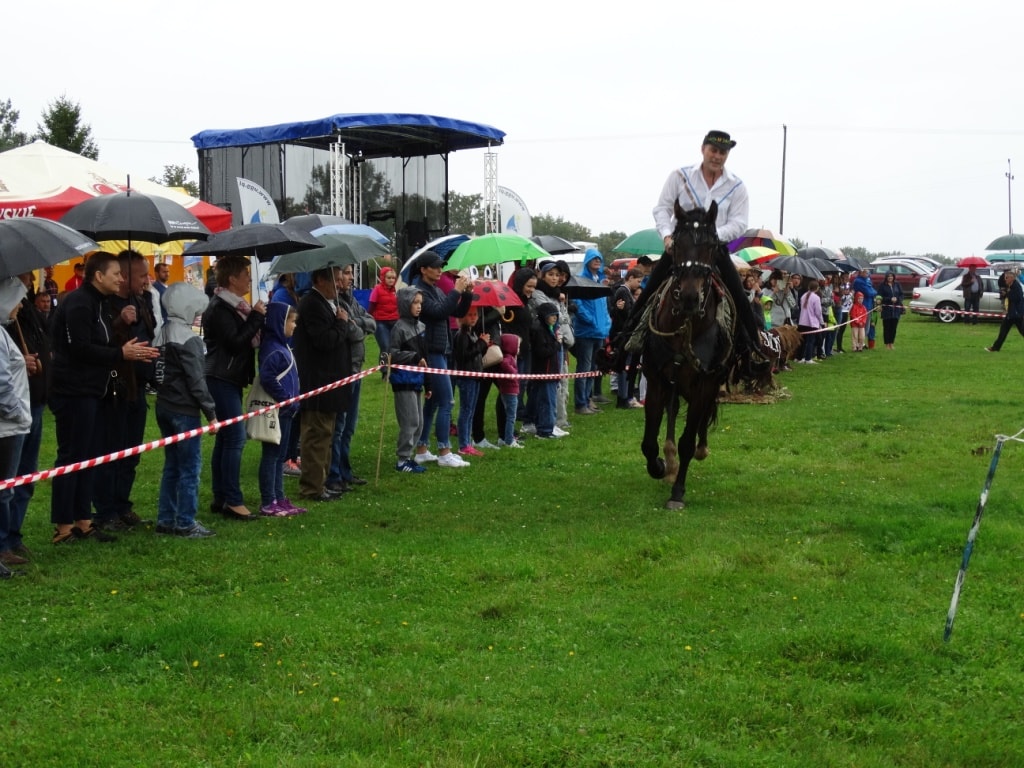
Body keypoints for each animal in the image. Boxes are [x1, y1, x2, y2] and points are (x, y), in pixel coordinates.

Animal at [637, 201, 737, 510]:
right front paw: (658, 466)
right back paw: (668, 462)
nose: (691, 298)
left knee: (701, 419)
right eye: (677, 244)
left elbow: (687, 441)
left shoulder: (704, 384)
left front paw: (677, 492)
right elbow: (649, 442)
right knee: (672, 414)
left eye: (712, 245)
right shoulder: (657, 381)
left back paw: (699, 450)